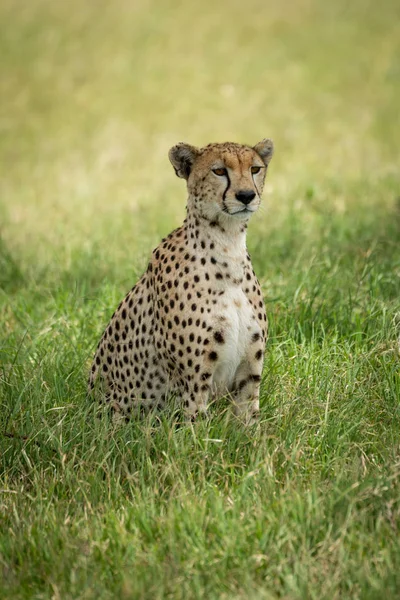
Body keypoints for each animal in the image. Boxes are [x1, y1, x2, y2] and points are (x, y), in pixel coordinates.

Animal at [88, 139, 274, 424]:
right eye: (219, 171)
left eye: (255, 168)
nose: (246, 196)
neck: (228, 243)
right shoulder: (193, 384)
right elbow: (196, 428)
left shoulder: (249, 373)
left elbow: (250, 423)